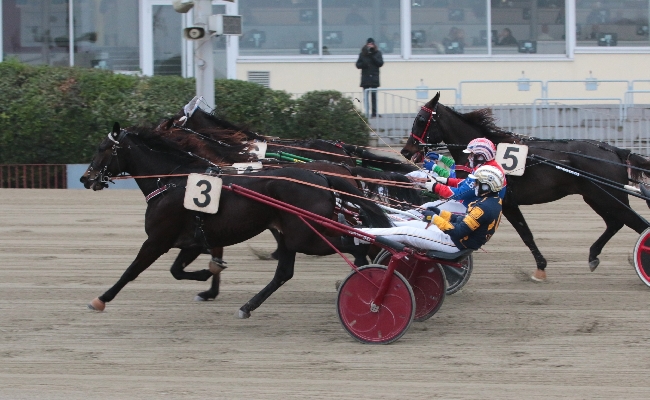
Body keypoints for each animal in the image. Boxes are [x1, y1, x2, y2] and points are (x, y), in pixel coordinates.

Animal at [78, 123, 388, 318]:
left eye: (102, 148)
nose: (85, 178)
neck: (172, 180)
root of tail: (322, 175)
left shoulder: (157, 239)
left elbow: (132, 271)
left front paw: (100, 300)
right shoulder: (195, 239)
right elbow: (178, 270)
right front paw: (208, 278)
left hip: (307, 236)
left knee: (355, 243)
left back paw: (369, 280)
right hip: (290, 234)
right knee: (285, 272)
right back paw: (248, 307)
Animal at [400, 93, 648, 282]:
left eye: (421, 119)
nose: (406, 150)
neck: (489, 154)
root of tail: (614, 151)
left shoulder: (508, 202)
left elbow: (526, 234)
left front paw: (540, 268)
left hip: (608, 197)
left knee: (636, 224)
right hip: (596, 197)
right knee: (615, 223)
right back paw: (593, 256)